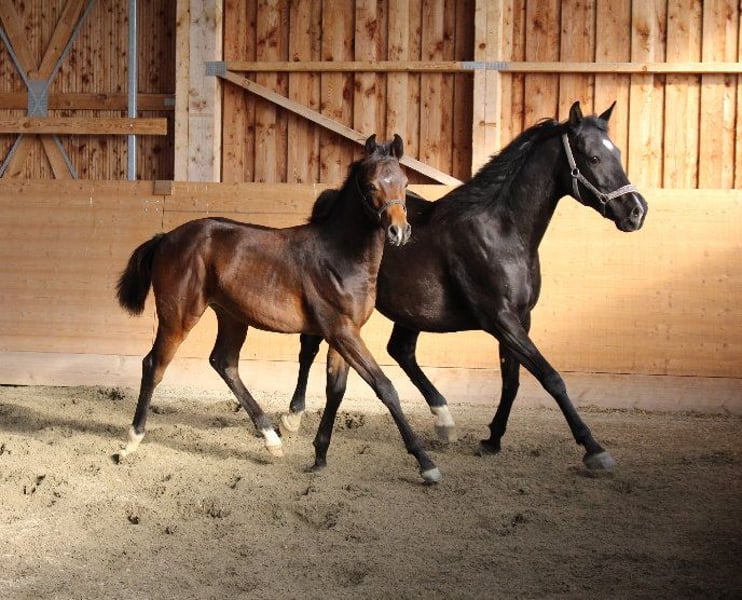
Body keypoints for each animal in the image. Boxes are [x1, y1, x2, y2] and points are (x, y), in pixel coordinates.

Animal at [115, 134, 442, 484]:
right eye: (370, 185)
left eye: (404, 182)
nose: (399, 231)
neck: (338, 255)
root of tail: (166, 238)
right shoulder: (342, 331)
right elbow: (385, 387)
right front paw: (427, 463)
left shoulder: (344, 333)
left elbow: (336, 390)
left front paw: (320, 456)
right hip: (177, 316)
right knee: (154, 365)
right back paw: (131, 441)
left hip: (232, 316)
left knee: (224, 363)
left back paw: (271, 438)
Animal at [281, 102, 648, 471]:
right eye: (593, 157)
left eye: (617, 153)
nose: (636, 211)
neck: (501, 232)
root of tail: (329, 201)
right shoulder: (500, 319)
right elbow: (551, 377)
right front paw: (593, 448)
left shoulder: (520, 319)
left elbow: (512, 381)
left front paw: (492, 439)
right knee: (309, 350)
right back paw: (293, 417)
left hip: (410, 311)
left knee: (401, 350)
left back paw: (444, 420)